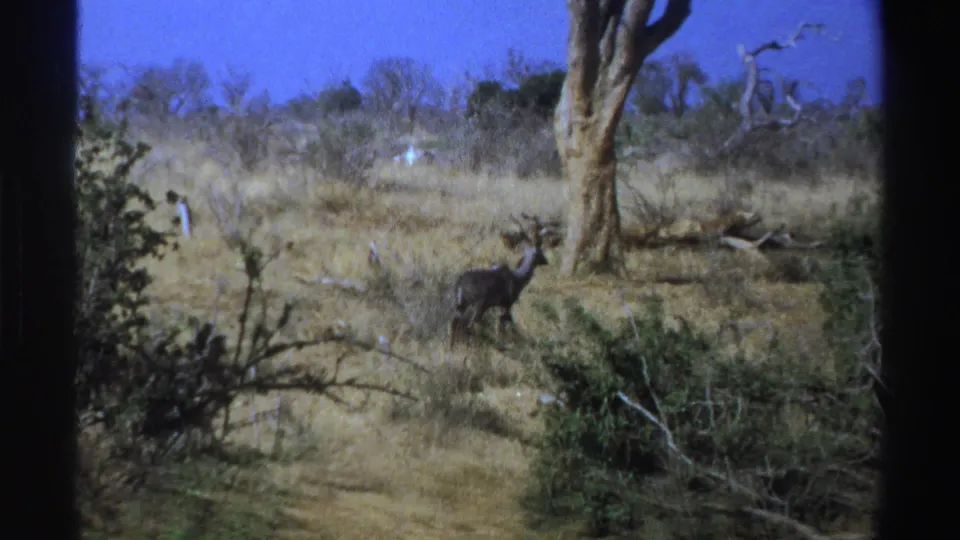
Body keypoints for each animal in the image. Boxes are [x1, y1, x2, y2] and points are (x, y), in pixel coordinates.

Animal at [449, 215, 550, 350]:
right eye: (540, 252)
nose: (546, 261)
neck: (518, 278)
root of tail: (460, 284)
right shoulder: (507, 303)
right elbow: (506, 322)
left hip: (462, 303)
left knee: (455, 321)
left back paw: (452, 346)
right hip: (479, 303)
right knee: (470, 323)